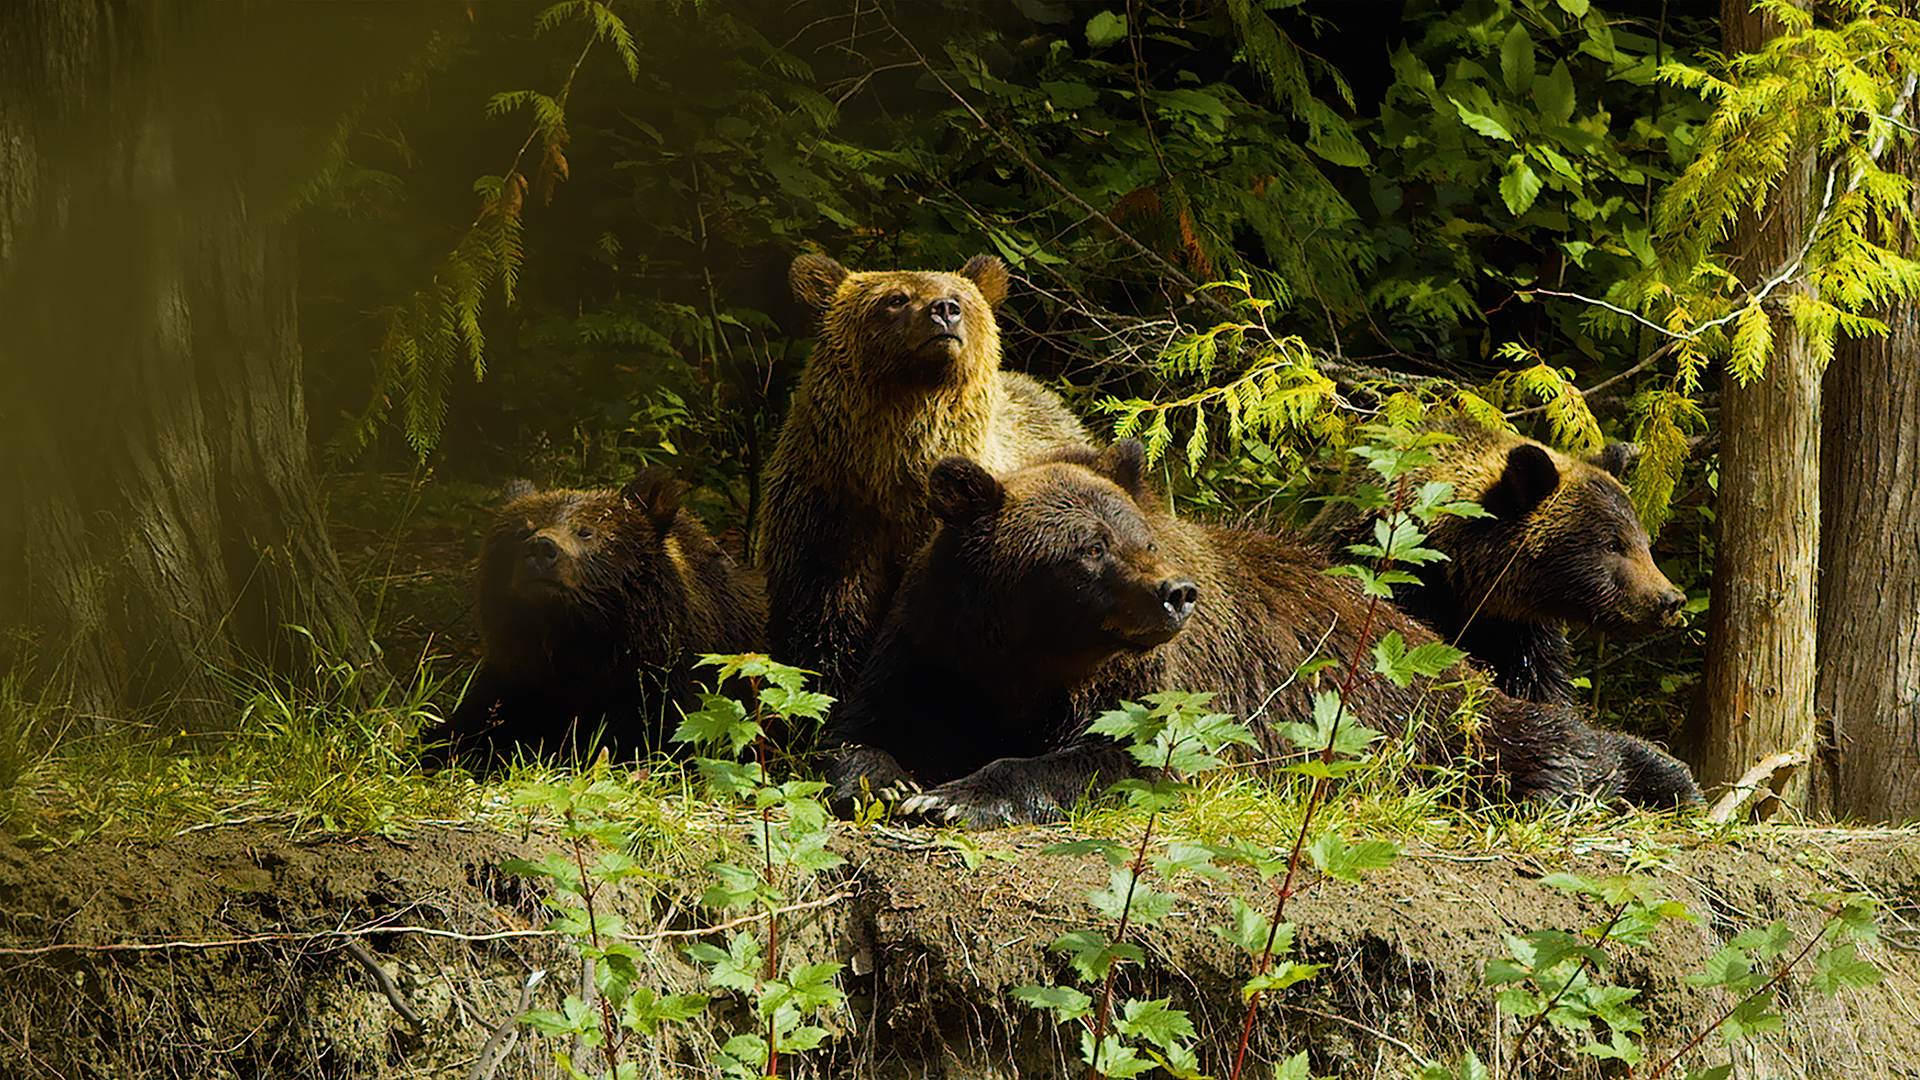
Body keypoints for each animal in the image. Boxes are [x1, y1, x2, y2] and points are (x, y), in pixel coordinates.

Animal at [426, 469, 767, 769]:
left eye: (586, 531)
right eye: (522, 530)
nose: (541, 548)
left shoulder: (668, 684)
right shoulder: (518, 677)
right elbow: (464, 728)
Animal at [1307, 411, 1686, 704]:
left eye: (1643, 541)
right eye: (1611, 544)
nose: (1670, 600)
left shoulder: (1520, 628)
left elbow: (1539, 681)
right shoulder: (1402, 586)